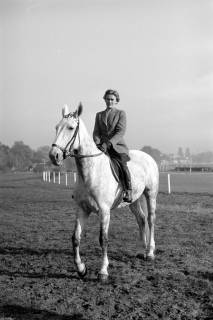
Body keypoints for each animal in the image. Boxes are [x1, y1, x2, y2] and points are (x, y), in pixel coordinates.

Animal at [48, 104, 158, 282]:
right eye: (56, 127)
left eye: (71, 128)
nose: (54, 156)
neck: (90, 172)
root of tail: (148, 157)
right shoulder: (82, 209)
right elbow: (75, 238)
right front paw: (81, 269)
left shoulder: (104, 212)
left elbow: (103, 239)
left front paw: (103, 271)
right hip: (133, 200)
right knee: (141, 219)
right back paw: (142, 249)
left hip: (151, 194)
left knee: (150, 220)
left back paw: (150, 252)